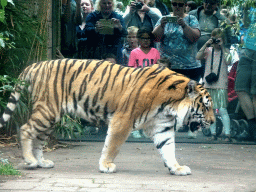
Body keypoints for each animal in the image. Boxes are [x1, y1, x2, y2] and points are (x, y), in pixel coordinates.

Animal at [0, 58, 214, 176]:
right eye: (206, 106)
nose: (212, 122)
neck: (170, 105)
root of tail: (36, 65)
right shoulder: (123, 119)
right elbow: (112, 145)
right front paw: (106, 165)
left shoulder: (163, 127)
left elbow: (168, 150)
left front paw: (176, 168)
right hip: (47, 111)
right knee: (25, 129)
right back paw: (30, 160)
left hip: (52, 117)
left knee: (38, 139)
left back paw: (42, 162)